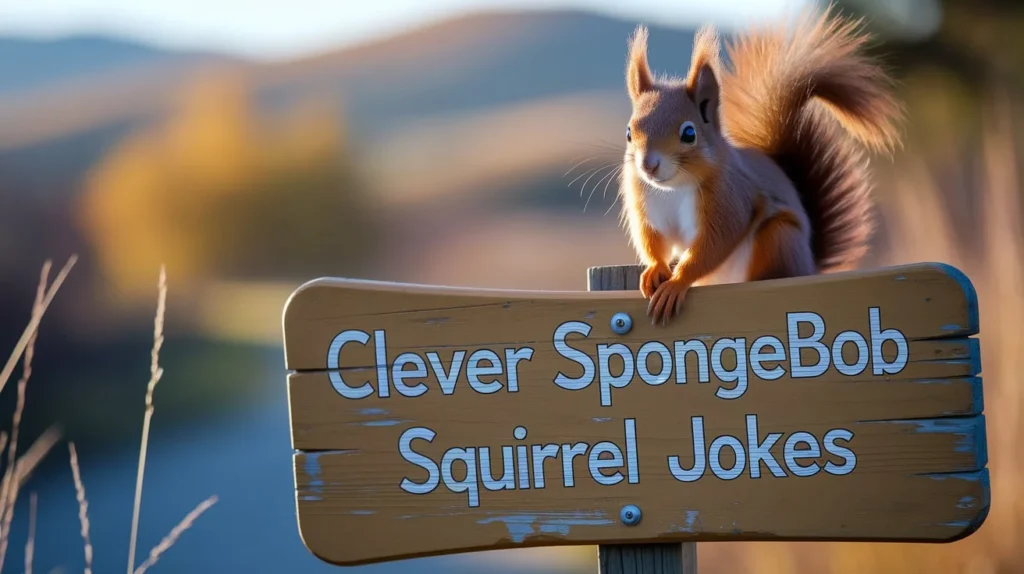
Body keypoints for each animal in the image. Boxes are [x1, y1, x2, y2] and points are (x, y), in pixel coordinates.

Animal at [618, 5, 903, 326]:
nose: (648, 165)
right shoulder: (645, 204)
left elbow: (715, 242)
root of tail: (810, 265)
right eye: (629, 132)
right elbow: (652, 241)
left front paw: (676, 283)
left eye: (689, 134)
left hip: (779, 238)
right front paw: (655, 270)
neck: (673, 188)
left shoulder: (730, 199)